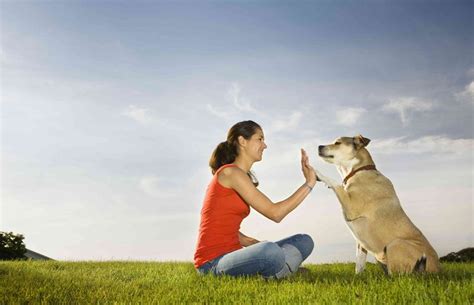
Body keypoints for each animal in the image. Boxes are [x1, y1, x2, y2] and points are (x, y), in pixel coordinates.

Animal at [314, 134, 440, 274]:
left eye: (337, 143)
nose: (319, 146)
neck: (359, 170)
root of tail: (436, 270)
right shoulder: (360, 243)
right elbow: (359, 262)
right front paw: (358, 276)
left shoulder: (351, 207)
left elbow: (335, 183)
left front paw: (316, 172)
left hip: (395, 244)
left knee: (399, 275)